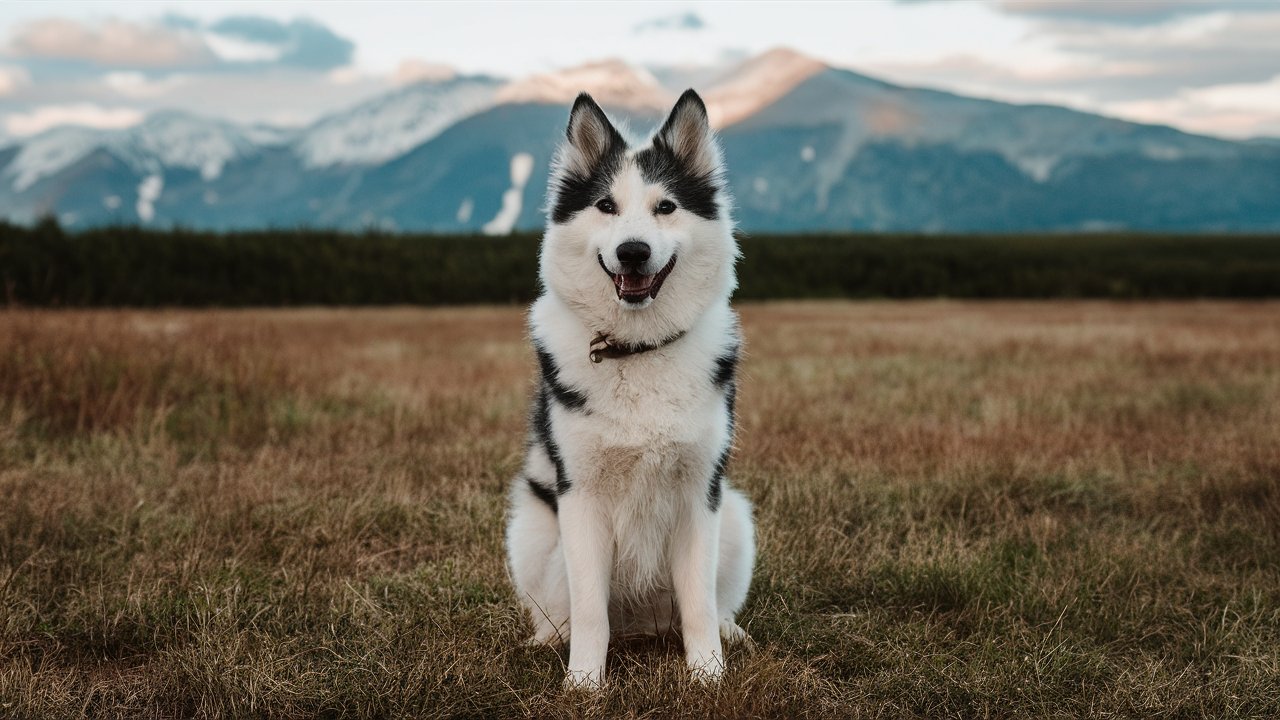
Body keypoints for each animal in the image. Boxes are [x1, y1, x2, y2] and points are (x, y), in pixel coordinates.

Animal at [504, 88, 752, 681]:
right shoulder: (580, 498)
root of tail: (641, 628)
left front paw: (708, 676)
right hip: (531, 533)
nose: (633, 251)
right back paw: (548, 641)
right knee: (561, 614)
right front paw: (584, 684)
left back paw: (732, 634)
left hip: (735, 515)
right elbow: (591, 611)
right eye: (606, 206)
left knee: (713, 604)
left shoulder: (700, 495)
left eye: (666, 207)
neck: (637, 350)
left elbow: (699, 603)